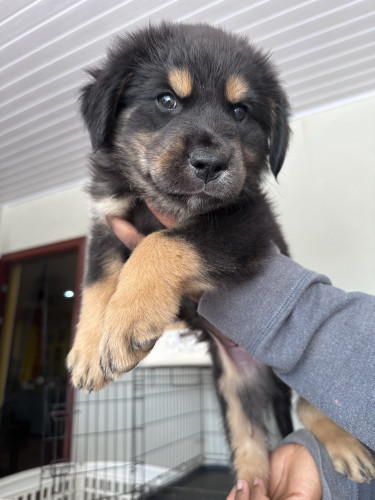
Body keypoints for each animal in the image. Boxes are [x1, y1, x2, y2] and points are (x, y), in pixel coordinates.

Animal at [67, 22, 375, 484]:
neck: (163, 204)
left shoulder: (246, 227)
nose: (210, 163)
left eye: (240, 112)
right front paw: (88, 349)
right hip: (233, 384)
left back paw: (344, 445)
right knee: (250, 441)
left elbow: (163, 243)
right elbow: (97, 284)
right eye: (167, 100)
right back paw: (253, 484)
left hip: (295, 367)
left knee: (309, 404)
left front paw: (130, 317)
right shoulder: (107, 223)